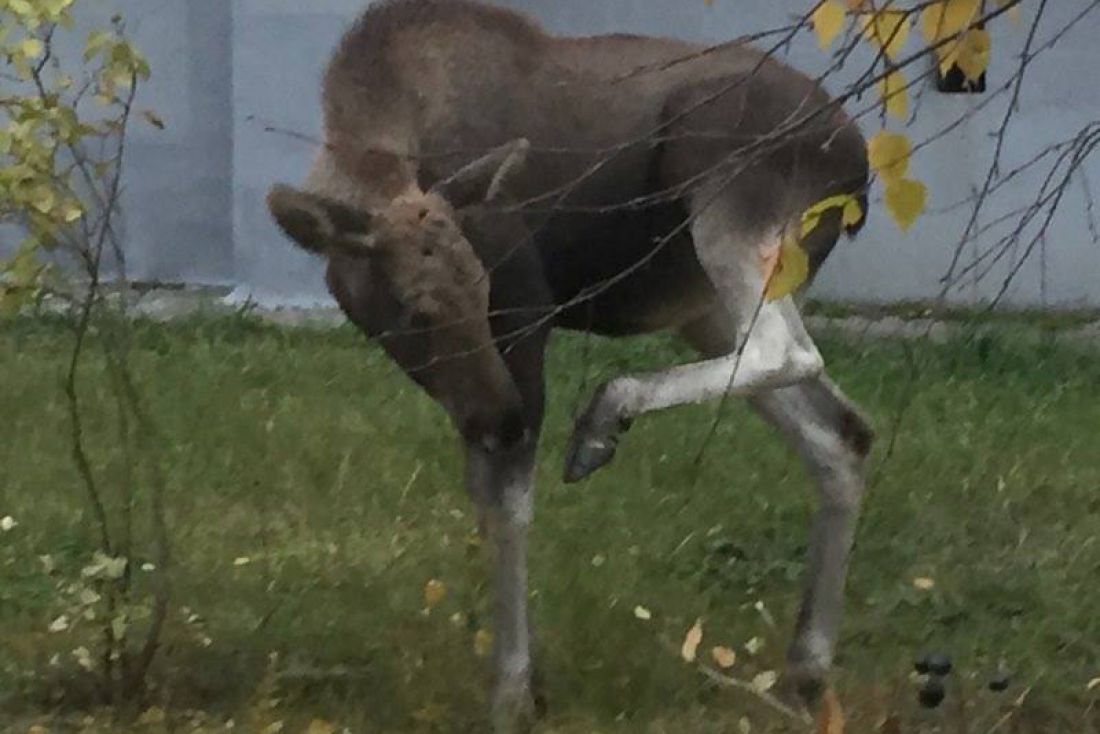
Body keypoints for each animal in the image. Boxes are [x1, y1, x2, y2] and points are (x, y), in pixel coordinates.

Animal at [264, 0, 866, 730]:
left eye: (483, 288)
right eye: (413, 311)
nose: (504, 416)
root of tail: (860, 167)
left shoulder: (529, 310)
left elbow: (509, 507)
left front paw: (512, 691)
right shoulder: (473, 393)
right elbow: (484, 497)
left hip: (727, 195)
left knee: (790, 351)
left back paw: (604, 419)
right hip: (703, 305)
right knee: (840, 432)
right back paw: (806, 669)